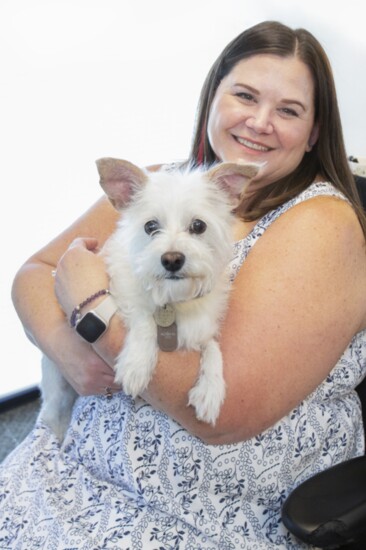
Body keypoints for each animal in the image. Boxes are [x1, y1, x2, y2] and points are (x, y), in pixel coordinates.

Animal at [39, 158, 258, 440]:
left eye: (198, 226)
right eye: (150, 226)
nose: (172, 259)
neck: (172, 298)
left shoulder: (203, 327)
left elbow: (212, 348)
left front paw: (211, 388)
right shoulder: (123, 290)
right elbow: (144, 320)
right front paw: (137, 364)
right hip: (57, 383)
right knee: (51, 414)